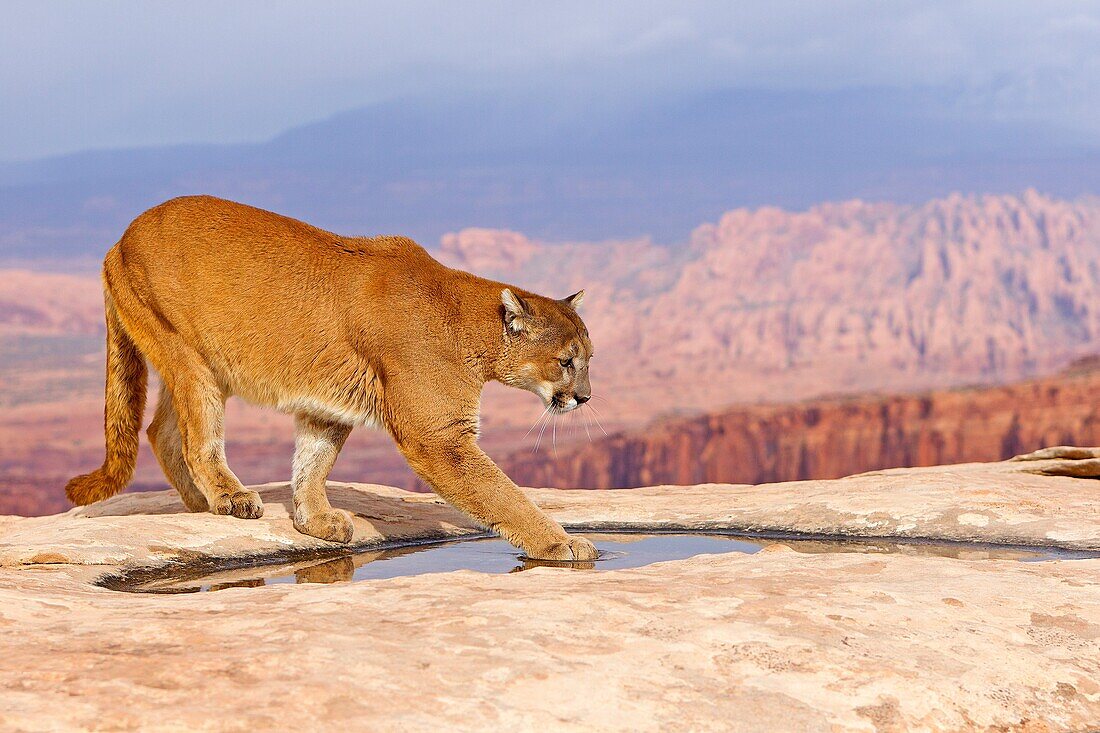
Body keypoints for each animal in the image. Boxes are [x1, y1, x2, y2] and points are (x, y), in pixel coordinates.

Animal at [64, 193, 598, 559]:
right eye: (567, 361)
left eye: (589, 356)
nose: (586, 397)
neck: (466, 322)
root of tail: (120, 239)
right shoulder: (439, 437)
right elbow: (502, 494)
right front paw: (561, 545)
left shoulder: (330, 406)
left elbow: (313, 463)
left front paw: (314, 520)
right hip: (191, 359)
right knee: (198, 439)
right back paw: (231, 497)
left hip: (197, 363)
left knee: (161, 430)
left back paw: (201, 502)